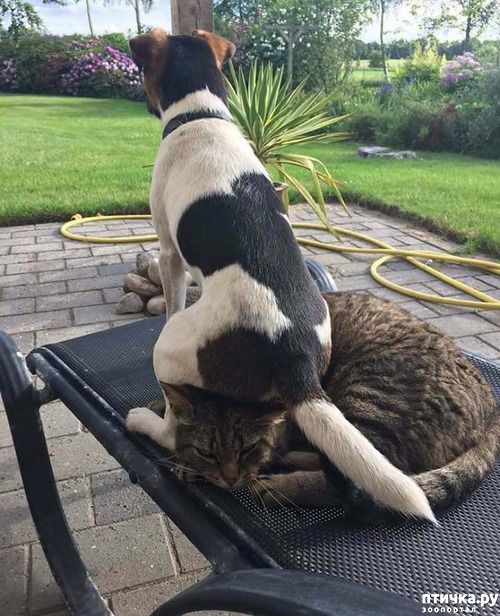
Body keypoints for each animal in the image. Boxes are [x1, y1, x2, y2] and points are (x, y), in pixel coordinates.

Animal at [125, 28, 434, 521]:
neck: (201, 115)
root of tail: (291, 351)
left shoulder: (170, 253)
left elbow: (171, 299)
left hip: (170, 351)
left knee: (177, 430)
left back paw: (145, 421)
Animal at [163, 292, 499, 519]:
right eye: (207, 452)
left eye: (248, 449)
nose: (230, 478)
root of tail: (491, 407)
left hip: (369, 396)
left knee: (368, 476)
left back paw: (285, 484)